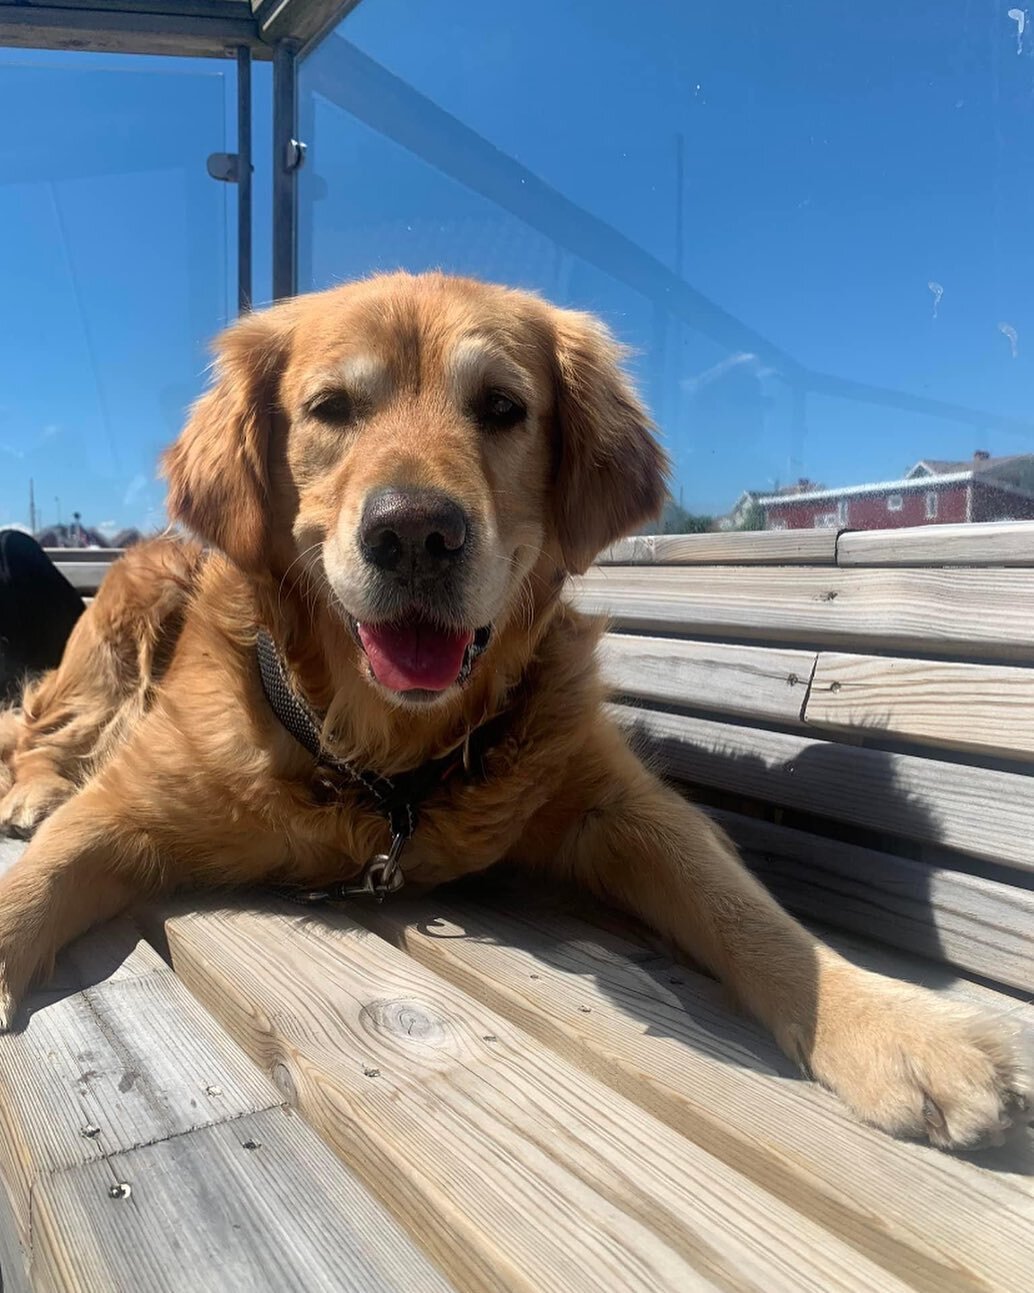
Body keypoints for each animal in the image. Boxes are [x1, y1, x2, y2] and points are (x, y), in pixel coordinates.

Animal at [0, 275, 1028, 1153]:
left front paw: (896, 1024)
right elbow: (43, 875)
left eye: (500, 407)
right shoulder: (133, 802)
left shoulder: (621, 805)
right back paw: (32, 788)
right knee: (41, 727)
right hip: (129, 626)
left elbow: (745, 911)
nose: (415, 532)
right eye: (332, 409)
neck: (386, 757)